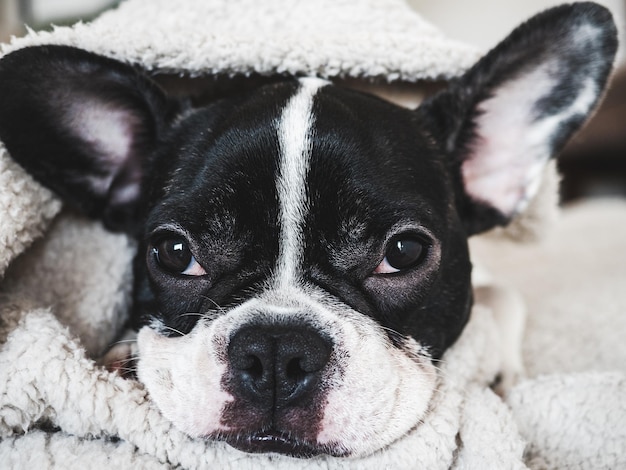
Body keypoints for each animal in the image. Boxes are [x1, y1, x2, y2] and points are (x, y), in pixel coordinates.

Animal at [0, 1, 616, 460]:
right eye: (173, 252)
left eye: (405, 251)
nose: (277, 351)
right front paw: (112, 362)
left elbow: (504, 299)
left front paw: (503, 374)